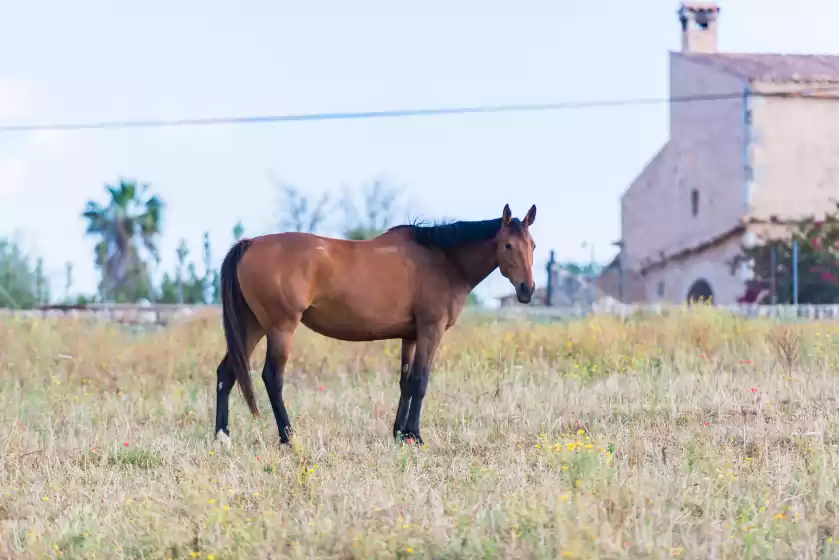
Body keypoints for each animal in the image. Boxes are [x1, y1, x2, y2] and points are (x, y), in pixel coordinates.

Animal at [212, 203, 540, 448]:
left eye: (533, 245)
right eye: (507, 245)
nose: (527, 289)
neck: (441, 259)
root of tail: (250, 244)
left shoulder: (411, 336)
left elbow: (406, 382)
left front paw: (400, 434)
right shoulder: (430, 330)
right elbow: (421, 381)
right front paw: (415, 436)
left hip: (252, 326)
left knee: (226, 373)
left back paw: (222, 437)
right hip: (280, 328)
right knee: (272, 377)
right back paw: (288, 437)